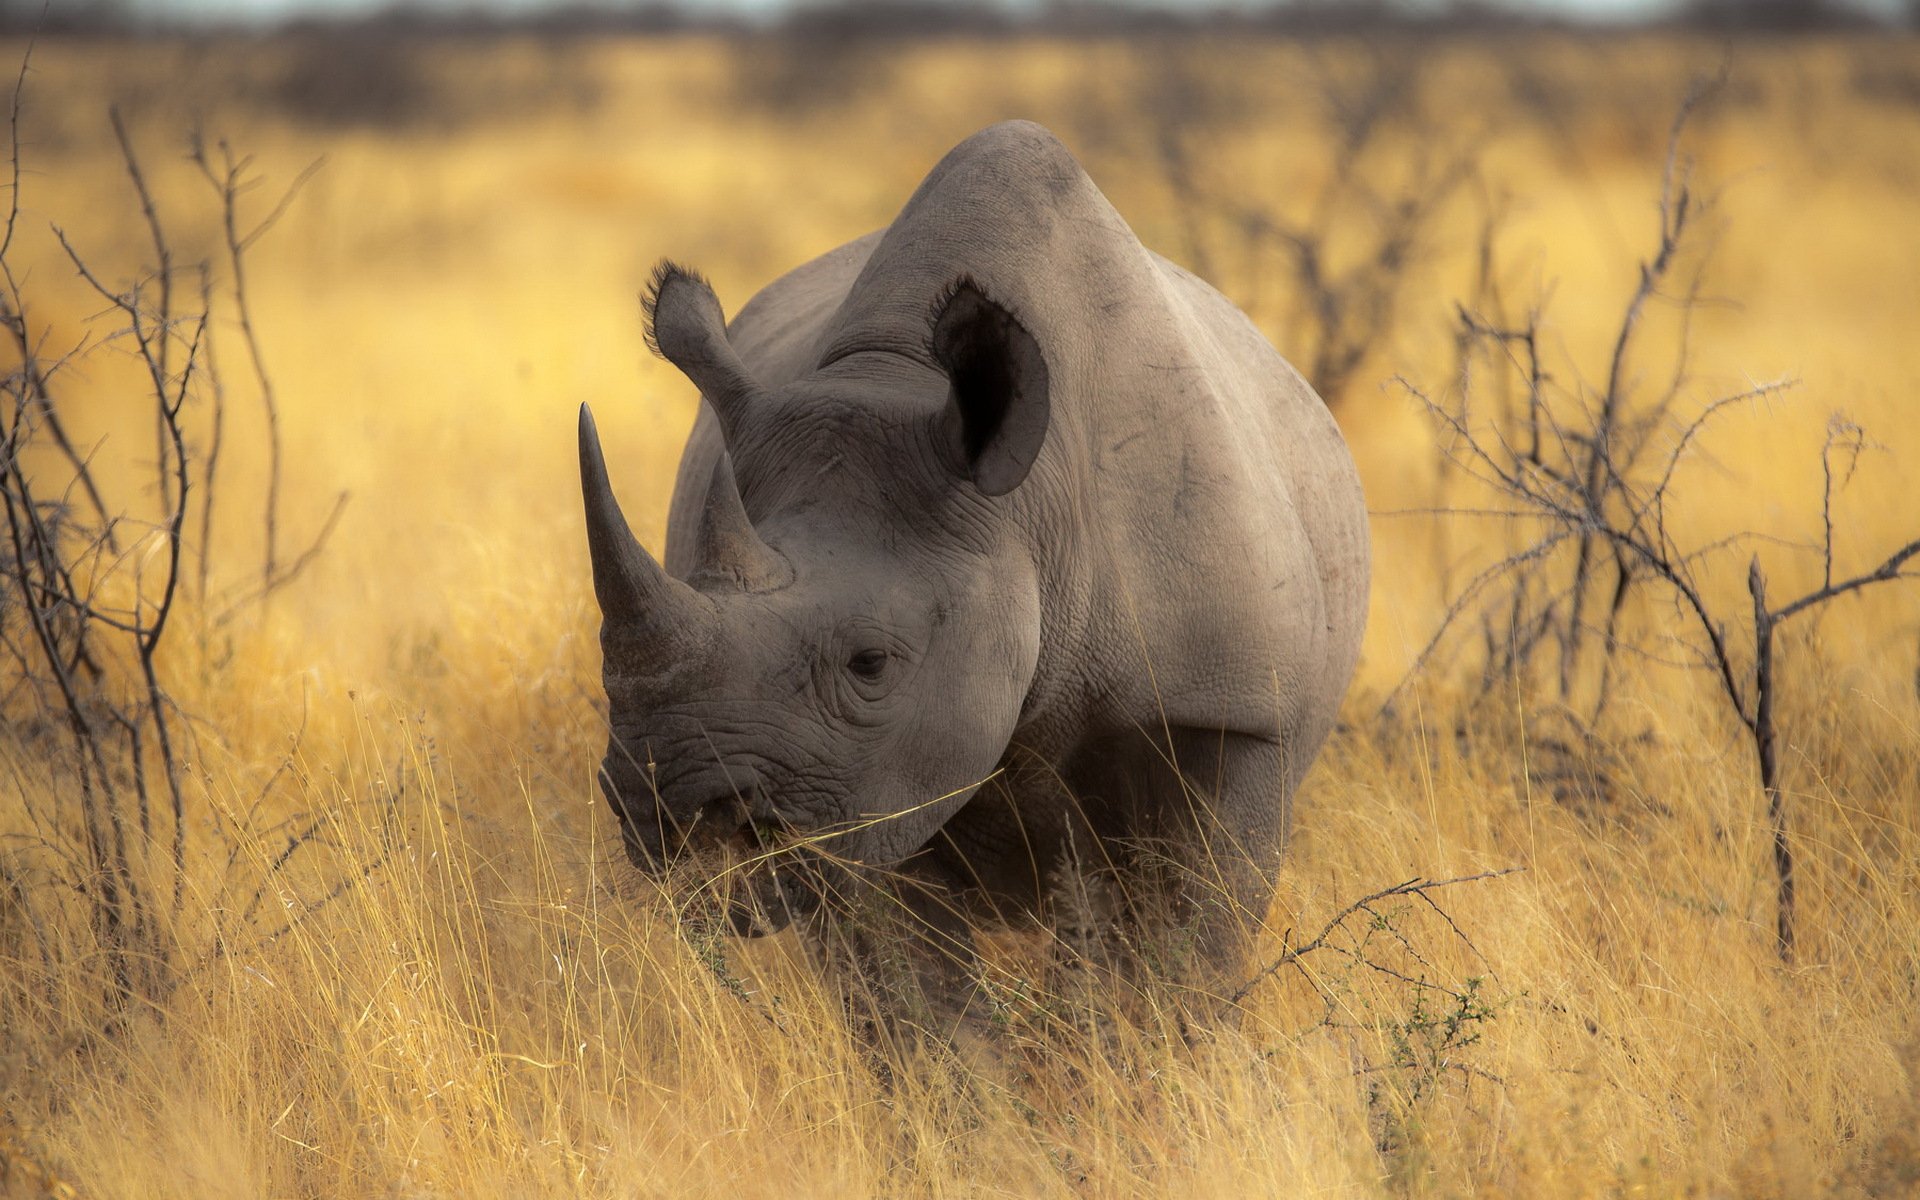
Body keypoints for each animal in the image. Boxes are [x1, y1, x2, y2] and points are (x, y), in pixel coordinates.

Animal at [579, 120, 1368, 988]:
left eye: (871, 664)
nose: (669, 812)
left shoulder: (1233, 704)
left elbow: (1192, 944)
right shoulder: (873, 789)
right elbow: (916, 995)